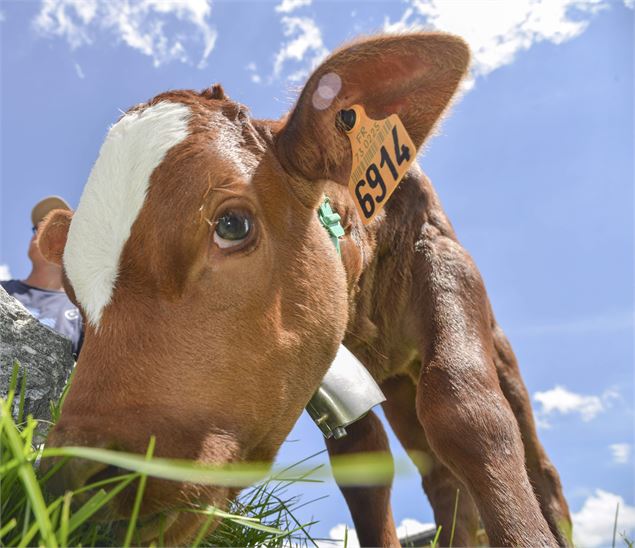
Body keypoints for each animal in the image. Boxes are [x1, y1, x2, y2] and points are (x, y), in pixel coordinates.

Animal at [39, 33, 572, 544]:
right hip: (398, 384)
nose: (76, 481)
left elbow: (467, 411)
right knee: (441, 482)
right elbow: (362, 459)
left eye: (232, 225)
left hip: (495, 349)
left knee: (538, 468)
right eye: (72, 291)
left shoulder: (445, 255)